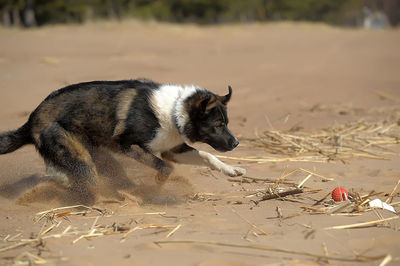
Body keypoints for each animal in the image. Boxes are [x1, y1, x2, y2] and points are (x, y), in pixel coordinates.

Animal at [0, 79, 245, 202]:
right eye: (218, 125)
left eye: (226, 122)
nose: (236, 144)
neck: (173, 111)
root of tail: (31, 120)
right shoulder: (127, 145)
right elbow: (165, 168)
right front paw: (156, 186)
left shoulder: (173, 149)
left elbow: (207, 156)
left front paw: (232, 170)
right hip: (82, 159)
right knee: (87, 183)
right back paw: (106, 201)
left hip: (96, 156)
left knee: (59, 173)